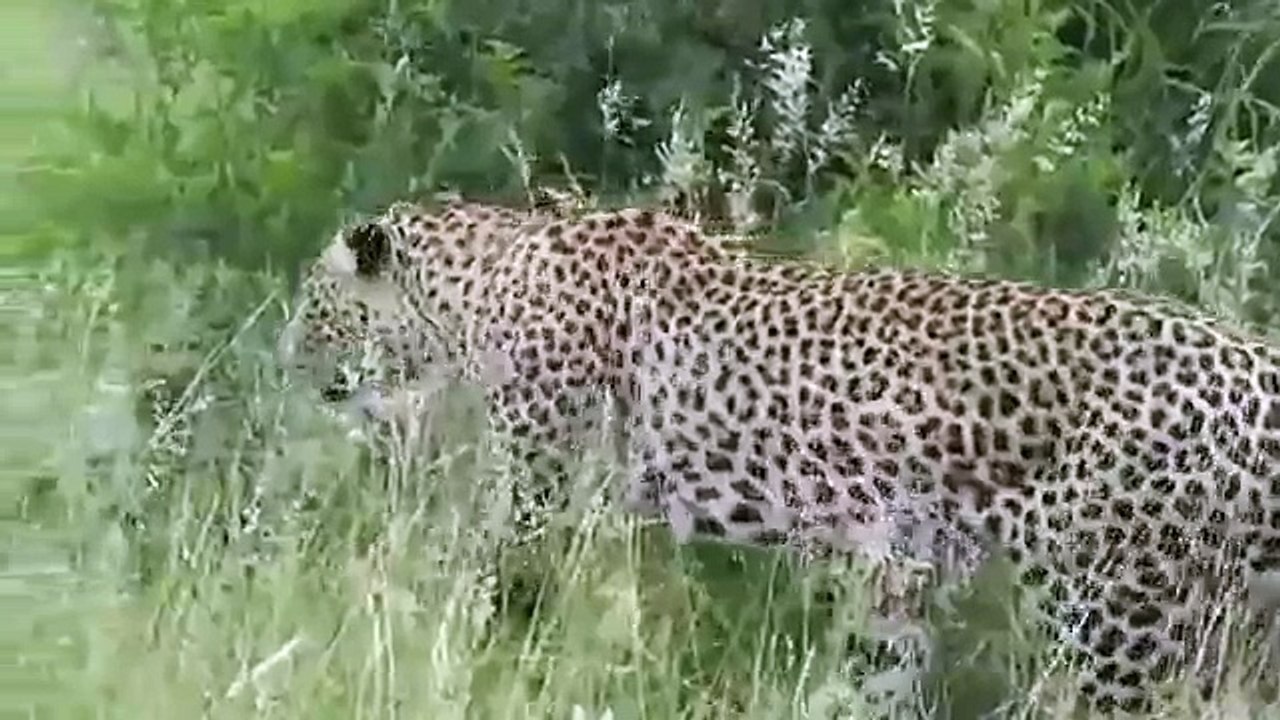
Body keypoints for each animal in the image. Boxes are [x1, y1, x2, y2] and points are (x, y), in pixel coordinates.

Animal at [277, 198, 1280, 716]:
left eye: (312, 304)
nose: (283, 359)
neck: (480, 285)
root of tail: (1252, 360)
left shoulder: (543, 482)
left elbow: (492, 585)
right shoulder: (895, 568)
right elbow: (880, 672)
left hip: (1126, 619)